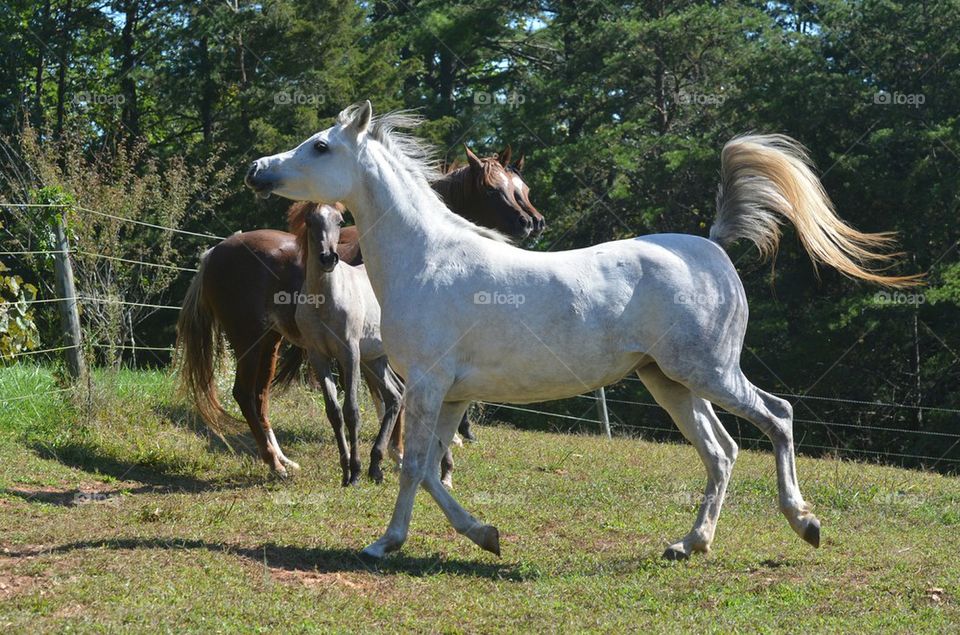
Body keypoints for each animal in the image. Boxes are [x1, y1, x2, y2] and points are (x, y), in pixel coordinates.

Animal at [176, 149, 540, 479]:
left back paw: (282, 460)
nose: (532, 223)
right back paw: (274, 464)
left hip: (269, 342)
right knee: (244, 394)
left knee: (259, 396)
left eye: (523, 190)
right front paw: (395, 453)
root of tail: (215, 251)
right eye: (493, 189)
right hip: (248, 338)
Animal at [246, 101, 920, 561]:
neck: (429, 259)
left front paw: (388, 543)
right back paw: (689, 544)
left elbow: (414, 466)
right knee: (722, 451)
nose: (257, 170)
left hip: (708, 372)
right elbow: (433, 467)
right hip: (670, 382)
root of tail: (711, 247)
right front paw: (479, 535)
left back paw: (803, 522)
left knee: (777, 418)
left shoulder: (430, 386)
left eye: (320, 147)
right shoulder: (450, 395)